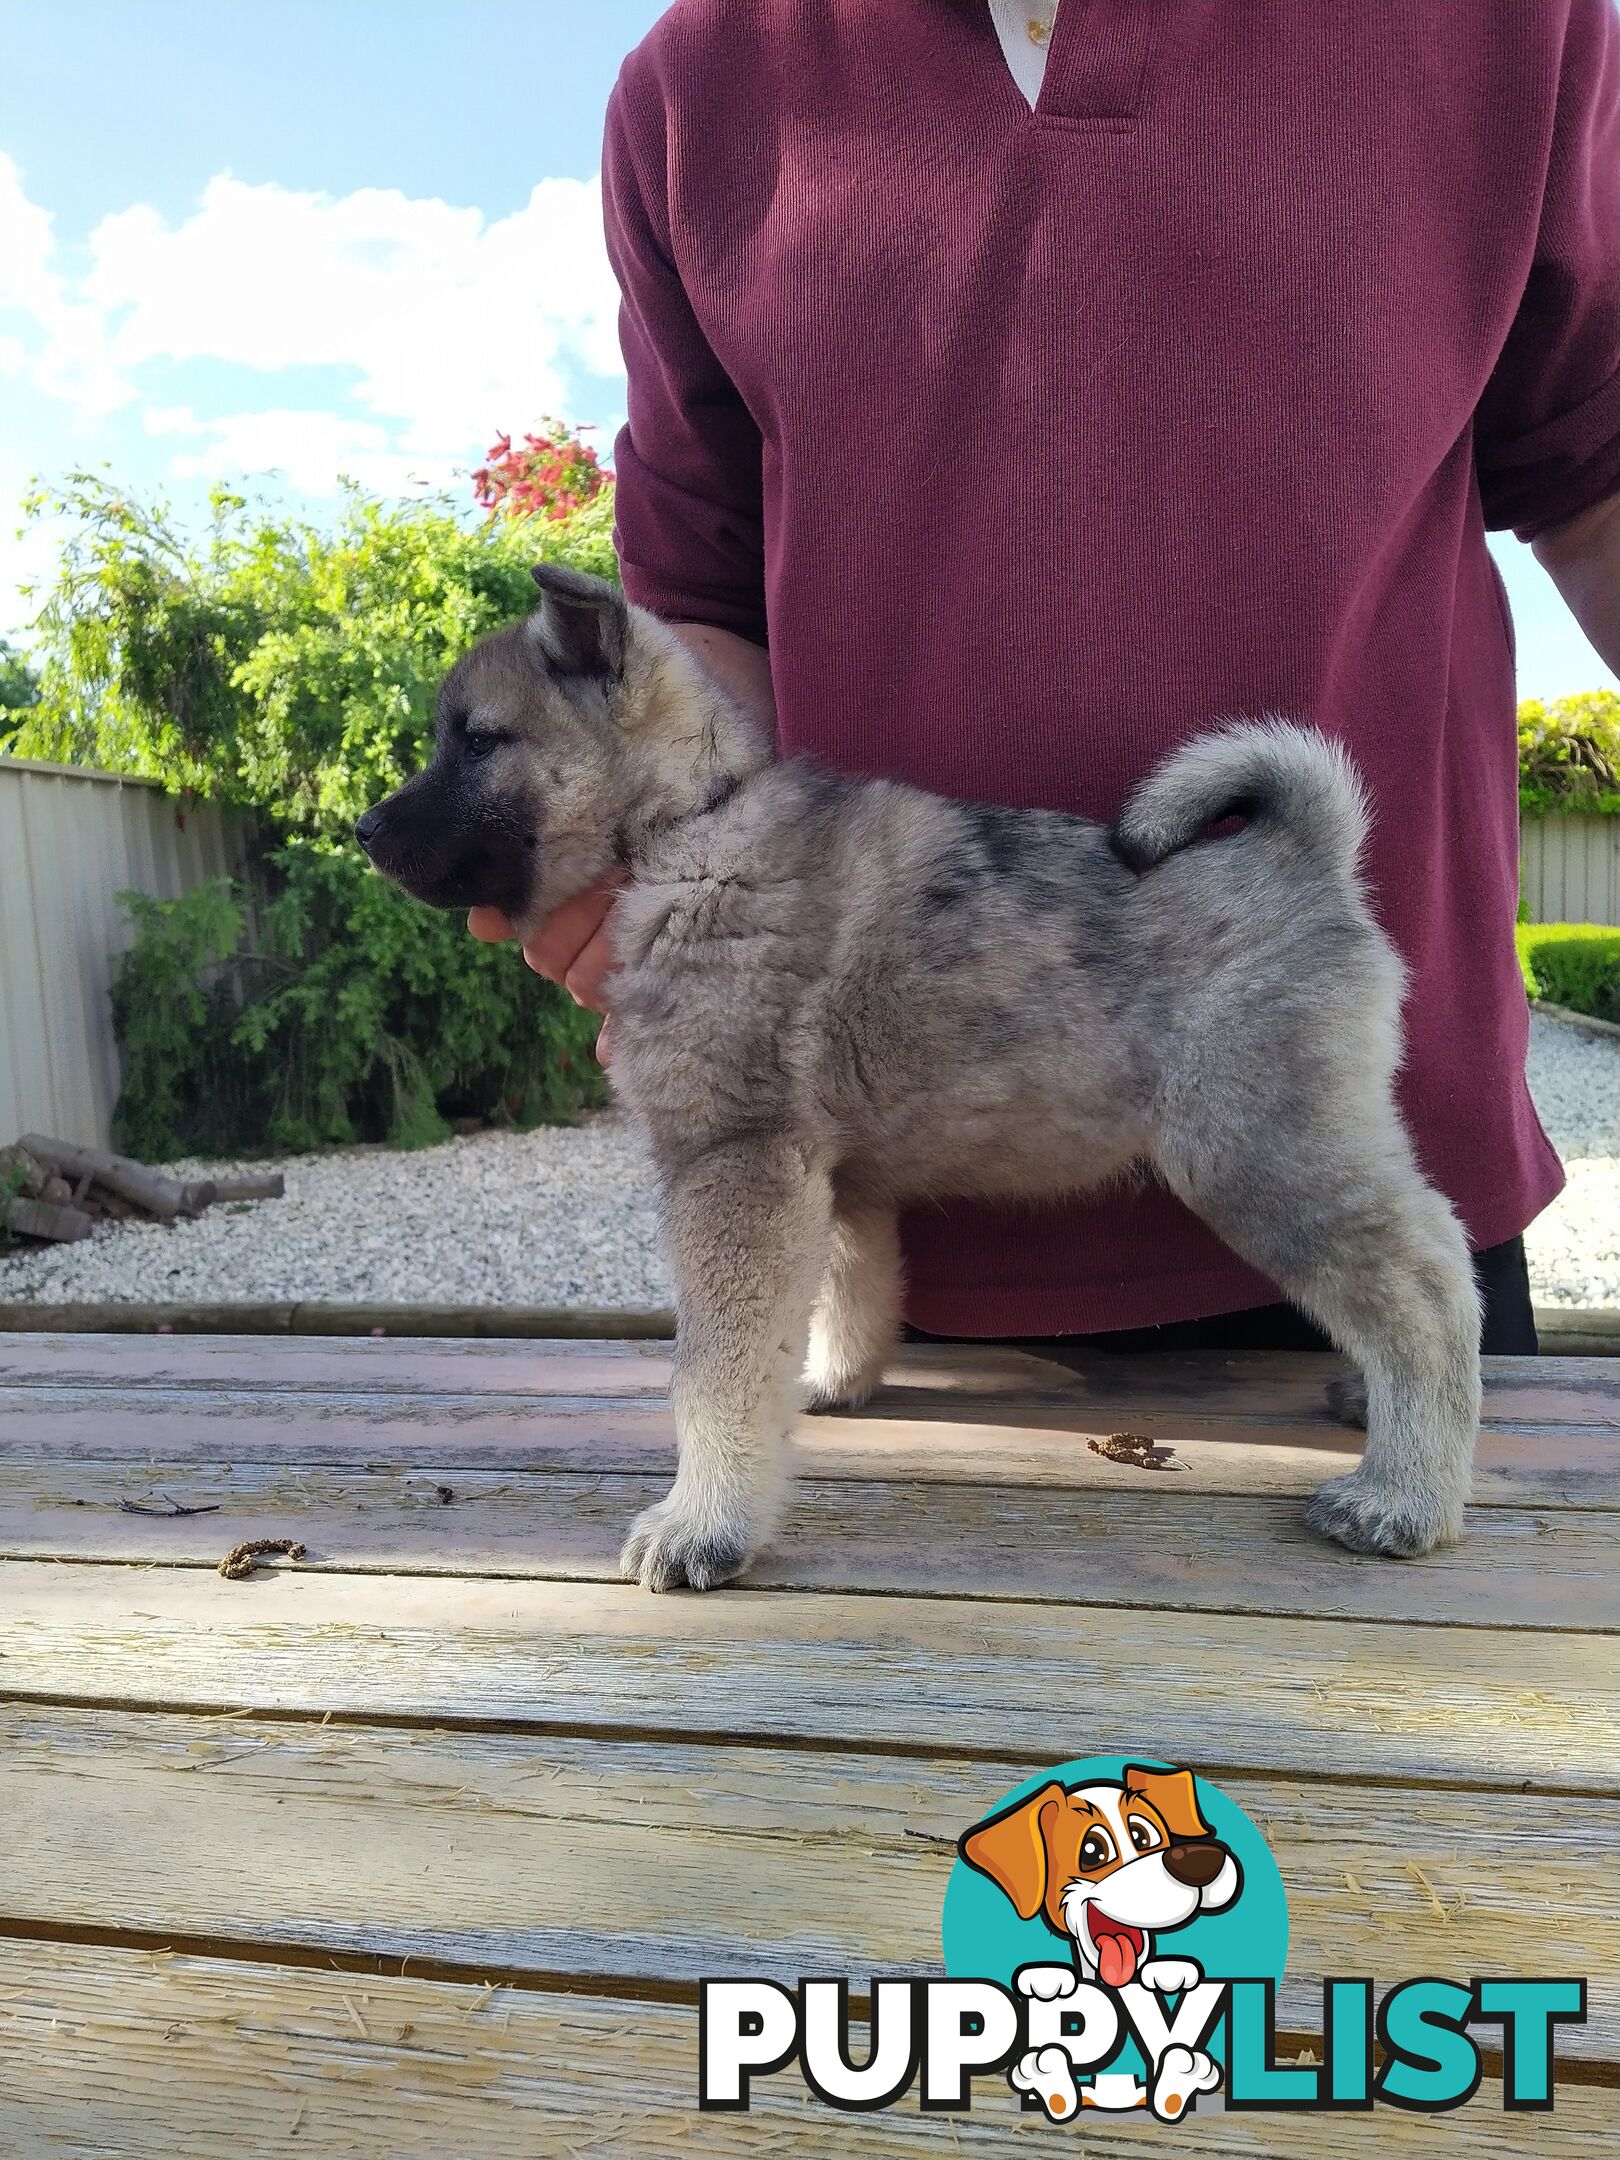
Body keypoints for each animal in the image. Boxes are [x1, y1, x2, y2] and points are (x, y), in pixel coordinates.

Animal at [360, 565, 1494, 1598]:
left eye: (478, 742)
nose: (365, 832)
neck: (688, 829)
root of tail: (1311, 858)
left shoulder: (735, 1165)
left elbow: (713, 1371)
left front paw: (702, 1521)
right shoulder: (829, 1179)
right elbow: (842, 1293)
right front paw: (829, 1380)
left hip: (1259, 1152)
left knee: (1427, 1286)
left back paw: (1402, 1494)